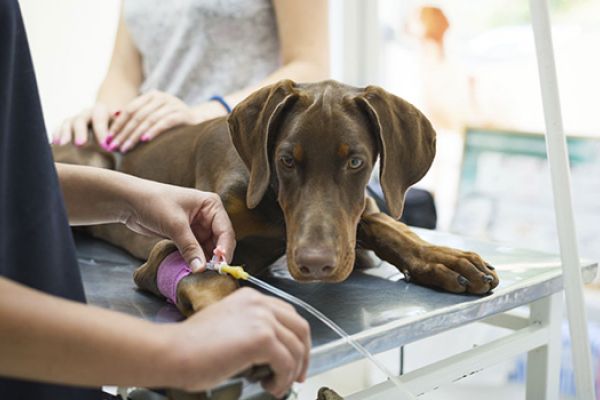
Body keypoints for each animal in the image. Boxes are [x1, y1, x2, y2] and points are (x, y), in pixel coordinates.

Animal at [54, 79, 500, 316]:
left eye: (356, 161)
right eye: (286, 160)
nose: (315, 264)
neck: (274, 210)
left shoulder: (356, 222)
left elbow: (383, 224)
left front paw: (442, 257)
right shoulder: (173, 243)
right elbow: (204, 276)